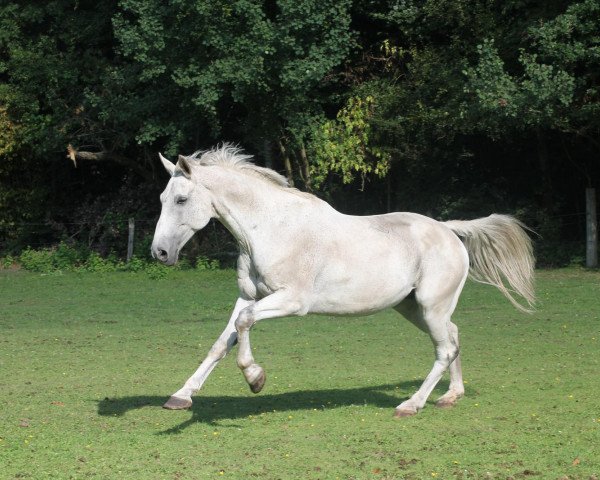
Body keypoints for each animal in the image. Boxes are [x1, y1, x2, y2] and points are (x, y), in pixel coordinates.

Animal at [151, 142, 536, 416]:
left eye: (181, 199)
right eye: (162, 198)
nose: (160, 253)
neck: (272, 228)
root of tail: (448, 230)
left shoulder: (291, 301)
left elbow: (244, 325)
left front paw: (255, 378)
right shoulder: (248, 296)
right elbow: (222, 342)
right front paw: (181, 396)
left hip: (430, 307)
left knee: (444, 349)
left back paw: (411, 405)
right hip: (414, 309)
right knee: (453, 338)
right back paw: (451, 396)